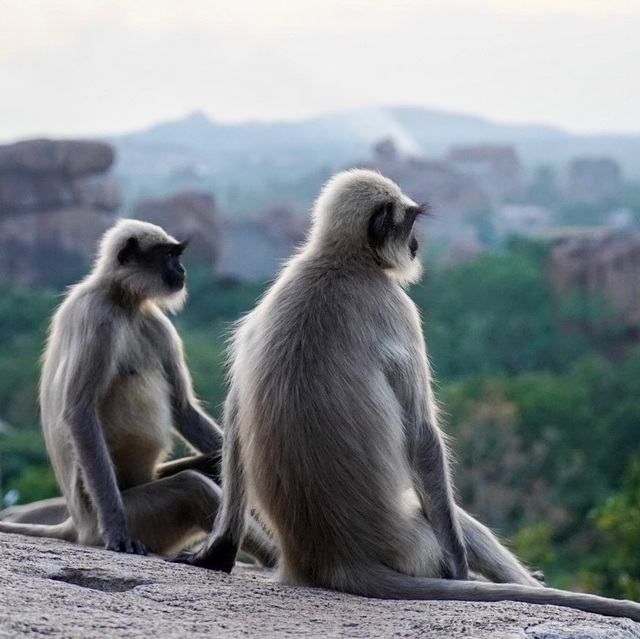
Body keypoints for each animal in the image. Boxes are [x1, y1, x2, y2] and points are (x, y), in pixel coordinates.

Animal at [0, 220, 276, 564]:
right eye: (169, 256)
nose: (182, 270)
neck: (123, 300)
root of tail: (75, 526)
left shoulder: (155, 323)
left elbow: (182, 409)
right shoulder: (98, 317)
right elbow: (80, 412)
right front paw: (117, 530)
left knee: (211, 469)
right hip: (139, 515)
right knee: (192, 487)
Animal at [178, 171, 640, 624]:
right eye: (409, 223)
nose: (416, 245)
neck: (338, 260)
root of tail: (334, 560)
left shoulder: (258, 317)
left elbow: (234, 416)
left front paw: (216, 551)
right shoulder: (397, 308)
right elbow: (422, 436)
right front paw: (459, 570)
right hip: (413, 542)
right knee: (452, 513)